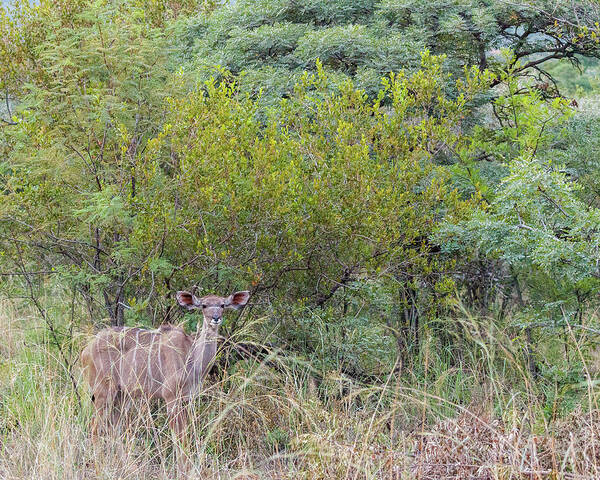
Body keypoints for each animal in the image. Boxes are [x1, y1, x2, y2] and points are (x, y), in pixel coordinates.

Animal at [79, 288, 248, 442]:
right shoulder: (170, 396)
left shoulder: (187, 398)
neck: (191, 356)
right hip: (104, 391)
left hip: (122, 395)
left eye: (223, 305)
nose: (216, 318)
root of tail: (86, 350)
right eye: (204, 305)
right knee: (95, 427)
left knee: (114, 428)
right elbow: (179, 437)